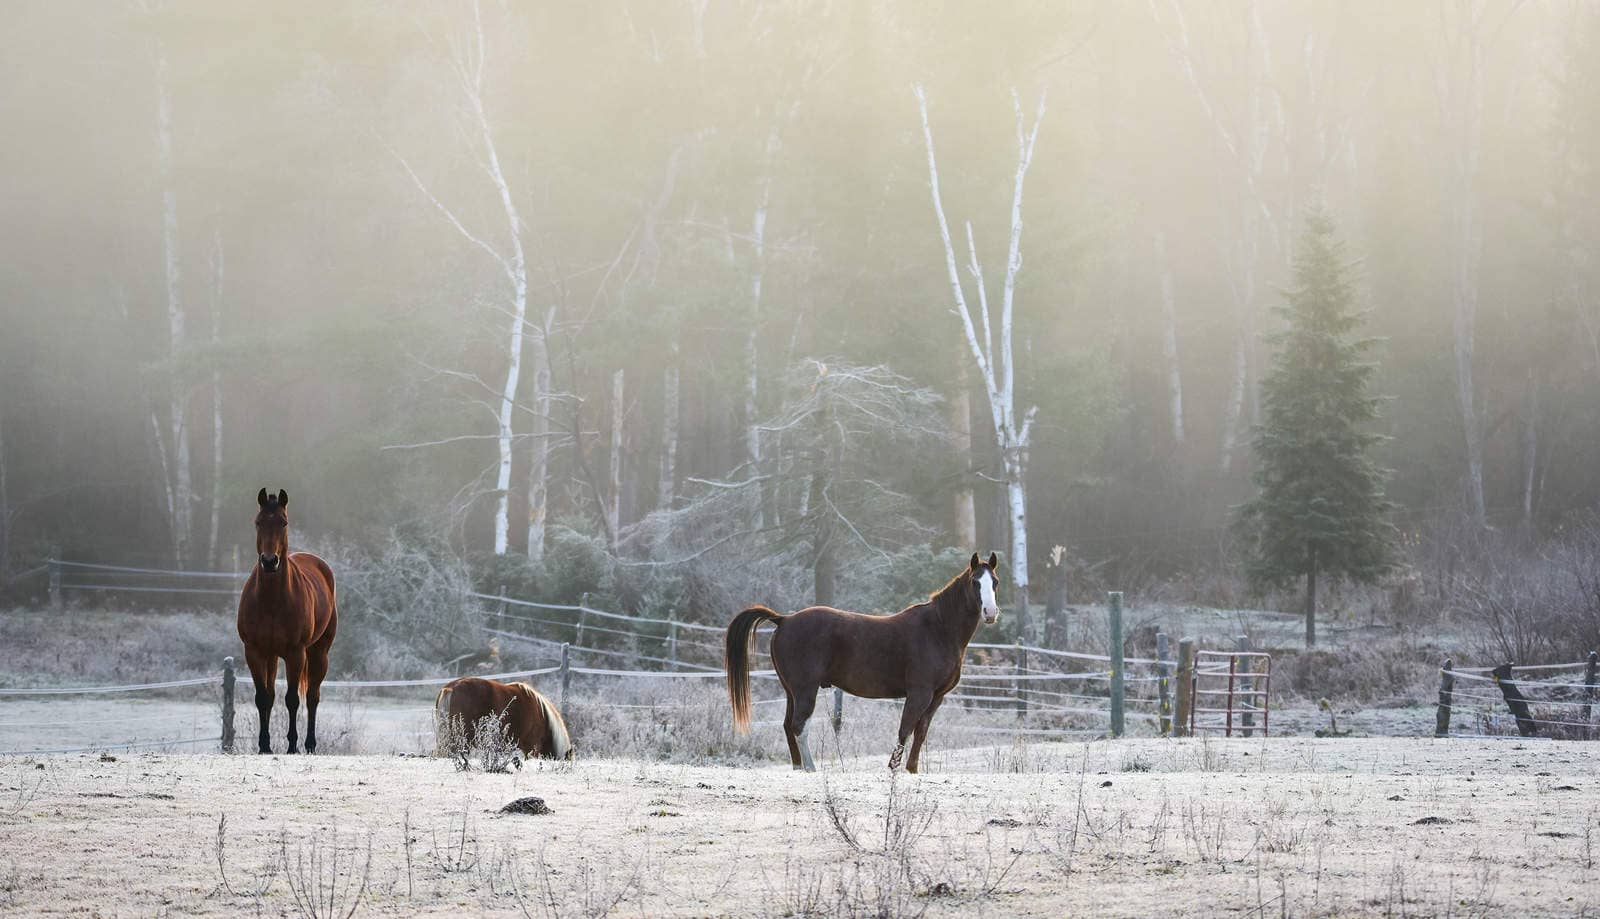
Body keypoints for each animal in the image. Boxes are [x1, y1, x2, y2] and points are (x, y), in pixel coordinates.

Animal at [233, 489, 337, 755]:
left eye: (284, 522)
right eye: (258, 522)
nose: (270, 562)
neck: (272, 601)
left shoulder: (295, 653)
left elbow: (292, 699)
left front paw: (292, 746)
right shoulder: (255, 652)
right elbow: (263, 698)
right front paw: (264, 746)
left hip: (318, 652)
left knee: (312, 696)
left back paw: (309, 744)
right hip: (271, 657)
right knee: (271, 696)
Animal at [726, 550, 998, 774]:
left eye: (994, 582)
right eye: (975, 582)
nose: (990, 613)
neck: (938, 629)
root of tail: (784, 619)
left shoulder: (937, 697)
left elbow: (920, 733)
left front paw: (912, 770)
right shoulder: (919, 694)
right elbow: (905, 729)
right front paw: (892, 769)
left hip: (791, 691)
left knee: (787, 725)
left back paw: (798, 768)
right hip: (805, 690)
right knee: (799, 725)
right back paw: (811, 768)